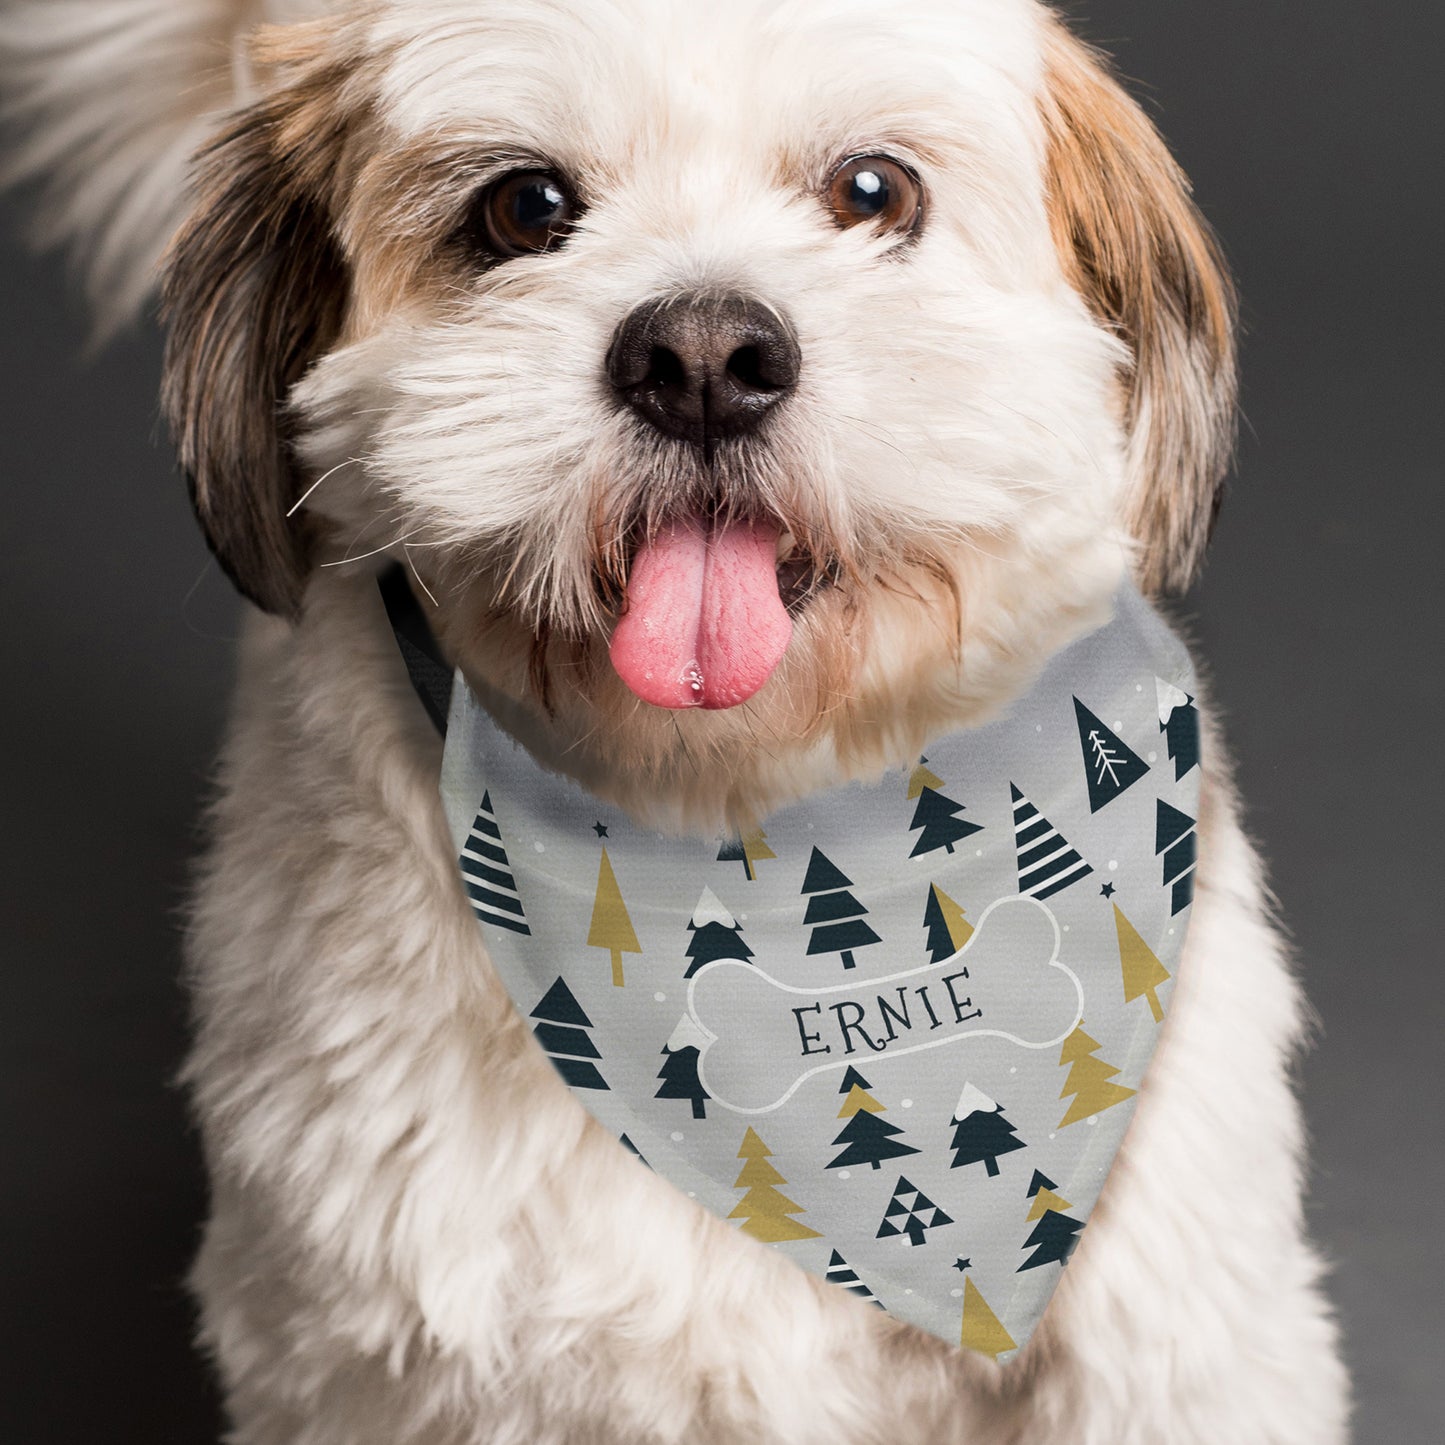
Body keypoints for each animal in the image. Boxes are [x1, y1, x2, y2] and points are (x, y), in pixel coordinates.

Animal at [5, 2, 1346, 1445]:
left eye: (871, 190)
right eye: (526, 208)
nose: (702, 355)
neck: (735, 816)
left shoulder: (1174, 1342)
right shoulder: (373, 1358)